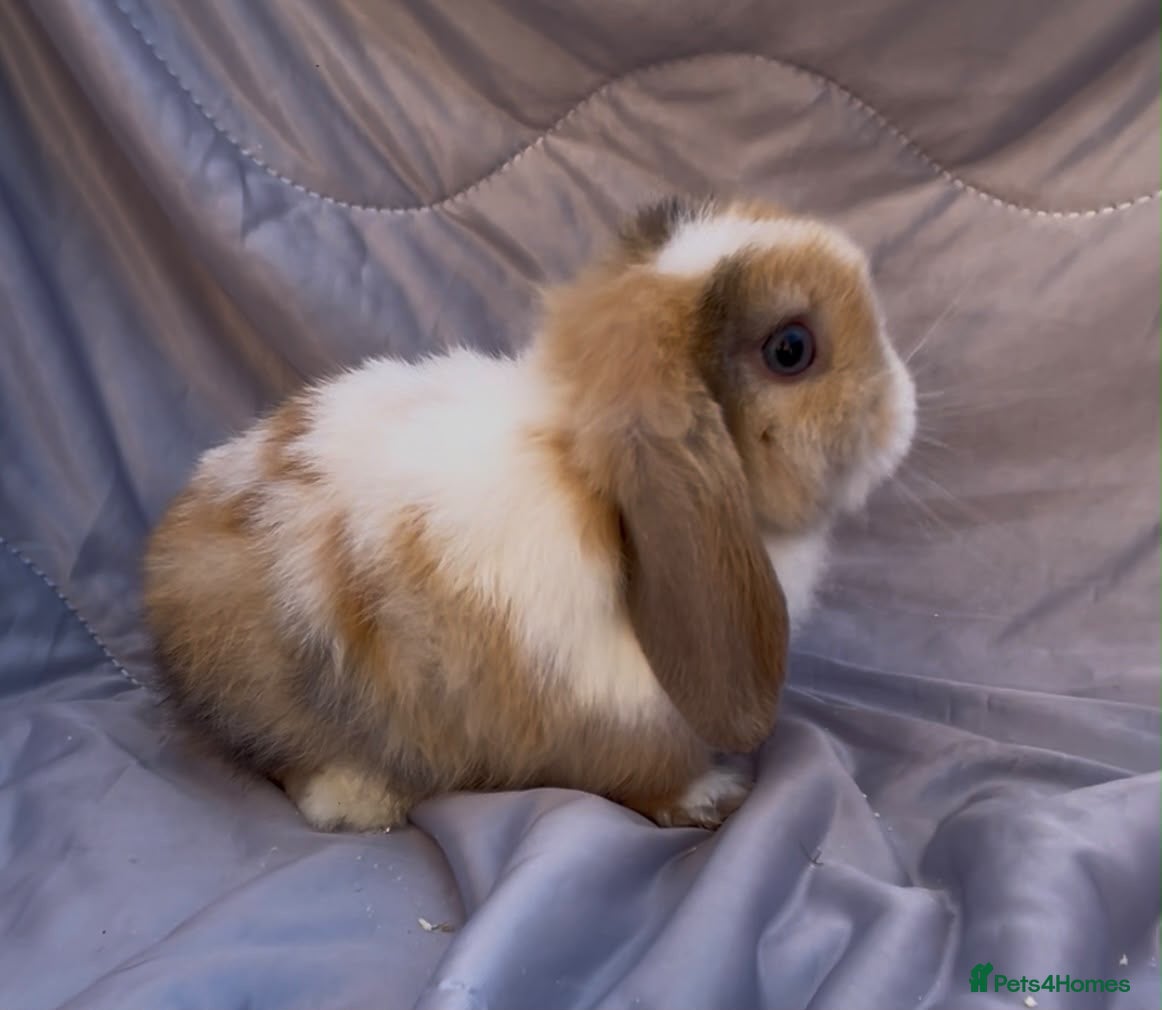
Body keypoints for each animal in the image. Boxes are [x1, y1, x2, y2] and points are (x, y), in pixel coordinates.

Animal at [142, 194, 916, 833]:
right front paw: (713, 797)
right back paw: (359, 799)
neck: (600, 496)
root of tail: (166, 564)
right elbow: (648, 775)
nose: (905, 402)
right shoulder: (618, 714)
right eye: (792, 349)